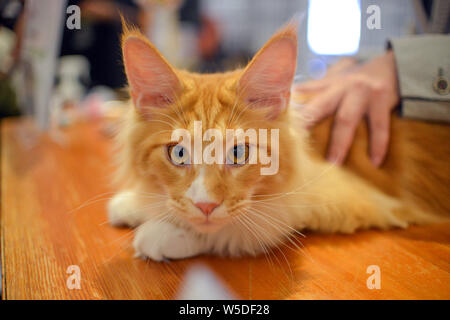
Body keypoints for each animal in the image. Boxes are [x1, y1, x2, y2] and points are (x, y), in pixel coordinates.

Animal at [108, 21, 446, 260]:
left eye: (239, 153)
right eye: (178, 153)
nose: (205, 206)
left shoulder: (333, 192)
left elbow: (243, 226)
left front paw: (162, 233)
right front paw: (135, 202)